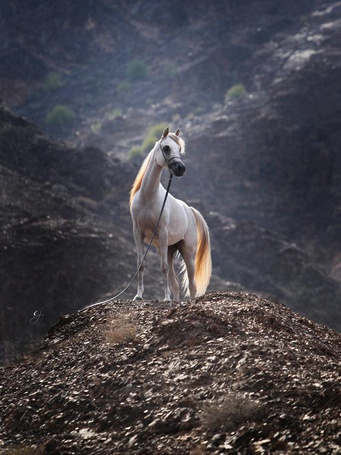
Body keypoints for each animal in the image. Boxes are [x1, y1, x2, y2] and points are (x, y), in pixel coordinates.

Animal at [129, 125, 211, 302]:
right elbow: (141, 264)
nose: (181, 168)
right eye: (166, 147)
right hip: (168, 249)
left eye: (179, 149)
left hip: (187, 252)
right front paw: (138, 296)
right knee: (175, 284)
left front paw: (166, 298)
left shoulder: (162, 233)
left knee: (192, 285)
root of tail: (189, 210)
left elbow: (164, 268)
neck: (148, 198)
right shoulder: (138, 233)